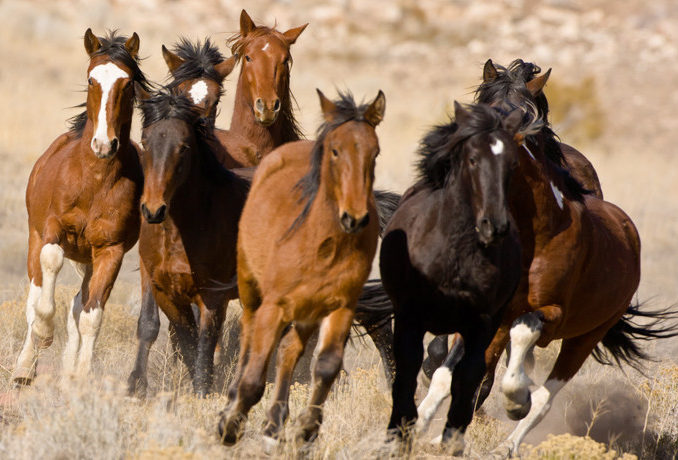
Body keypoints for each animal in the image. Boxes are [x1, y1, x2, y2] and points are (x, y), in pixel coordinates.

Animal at [13, 28, 149, 384]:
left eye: (127, 82)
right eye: (91, 80)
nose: (104, 144)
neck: (94, 180)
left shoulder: (110, 250)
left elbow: (90, 316)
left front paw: (80, 378)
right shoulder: (52, 230)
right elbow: (49, 273)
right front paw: (44, 334)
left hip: (88, 258)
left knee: (78, 304)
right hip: (35, 236)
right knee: (35, 293)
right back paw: (24, 368)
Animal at [127, 88, 250, 398]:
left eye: (183, 147)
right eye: (144, 141)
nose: (153, 210)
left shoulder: (213, 295)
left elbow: (204, 345)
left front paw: (202, 393)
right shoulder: (165, 292)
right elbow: (186, 342)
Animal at [219, 89, 388, 446]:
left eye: (375, 152)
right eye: (335, 151)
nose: (354, 218)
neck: (321, 243)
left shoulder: (340, 304)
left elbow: (325, 365)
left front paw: (306, 429)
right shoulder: (274, 305)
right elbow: (254, 374)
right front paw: (230, 424)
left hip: (307, 310)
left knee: (289, 350)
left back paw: (274, 423)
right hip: (251, 288)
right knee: (248, 339)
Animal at [386, 101, 528, 452]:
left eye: (513, 163)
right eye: (473, 159)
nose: (494, 225)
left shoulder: (482, 325)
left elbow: (468, 379)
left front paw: (452, 440)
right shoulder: (409, 319)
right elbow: (406, 374)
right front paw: (402, 433)